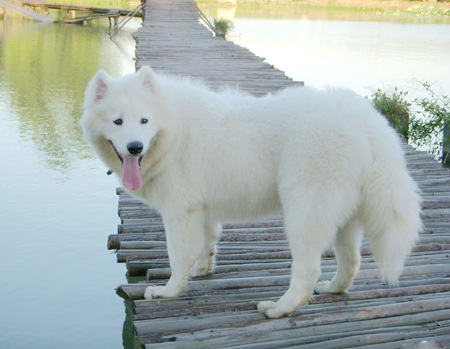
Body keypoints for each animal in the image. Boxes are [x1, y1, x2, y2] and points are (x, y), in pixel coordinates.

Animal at [80, 66, 422, 318]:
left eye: (144, 120)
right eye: (118, 121)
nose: (134, 147)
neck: (173, 130)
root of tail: (367, 122)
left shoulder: (179, 211)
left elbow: (178, 256)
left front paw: (168, 291)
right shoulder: (202, 209)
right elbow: (206, 243)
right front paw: (202, 270)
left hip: (305, 210)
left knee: (307, 269)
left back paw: (280, 308)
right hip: (343, 217)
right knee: (350, 262)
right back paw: (332, 289)